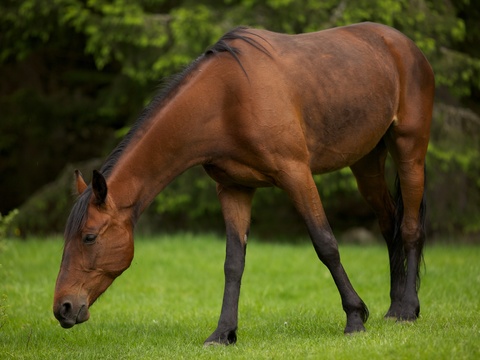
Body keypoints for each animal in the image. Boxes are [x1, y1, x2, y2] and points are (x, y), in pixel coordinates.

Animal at [53, 23, 436, 346]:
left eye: (89, 237)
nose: (63, 308)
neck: (225, 99)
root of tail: (403, 44)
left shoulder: (296, 174)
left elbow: (325, 244)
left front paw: (355, 318)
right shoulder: (234, 189)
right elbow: (233, 263)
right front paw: (223, 333)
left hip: (410, 150)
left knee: (410, 227)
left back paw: (408, 309)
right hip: (366, 163)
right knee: (389, 223)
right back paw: (394, 307)